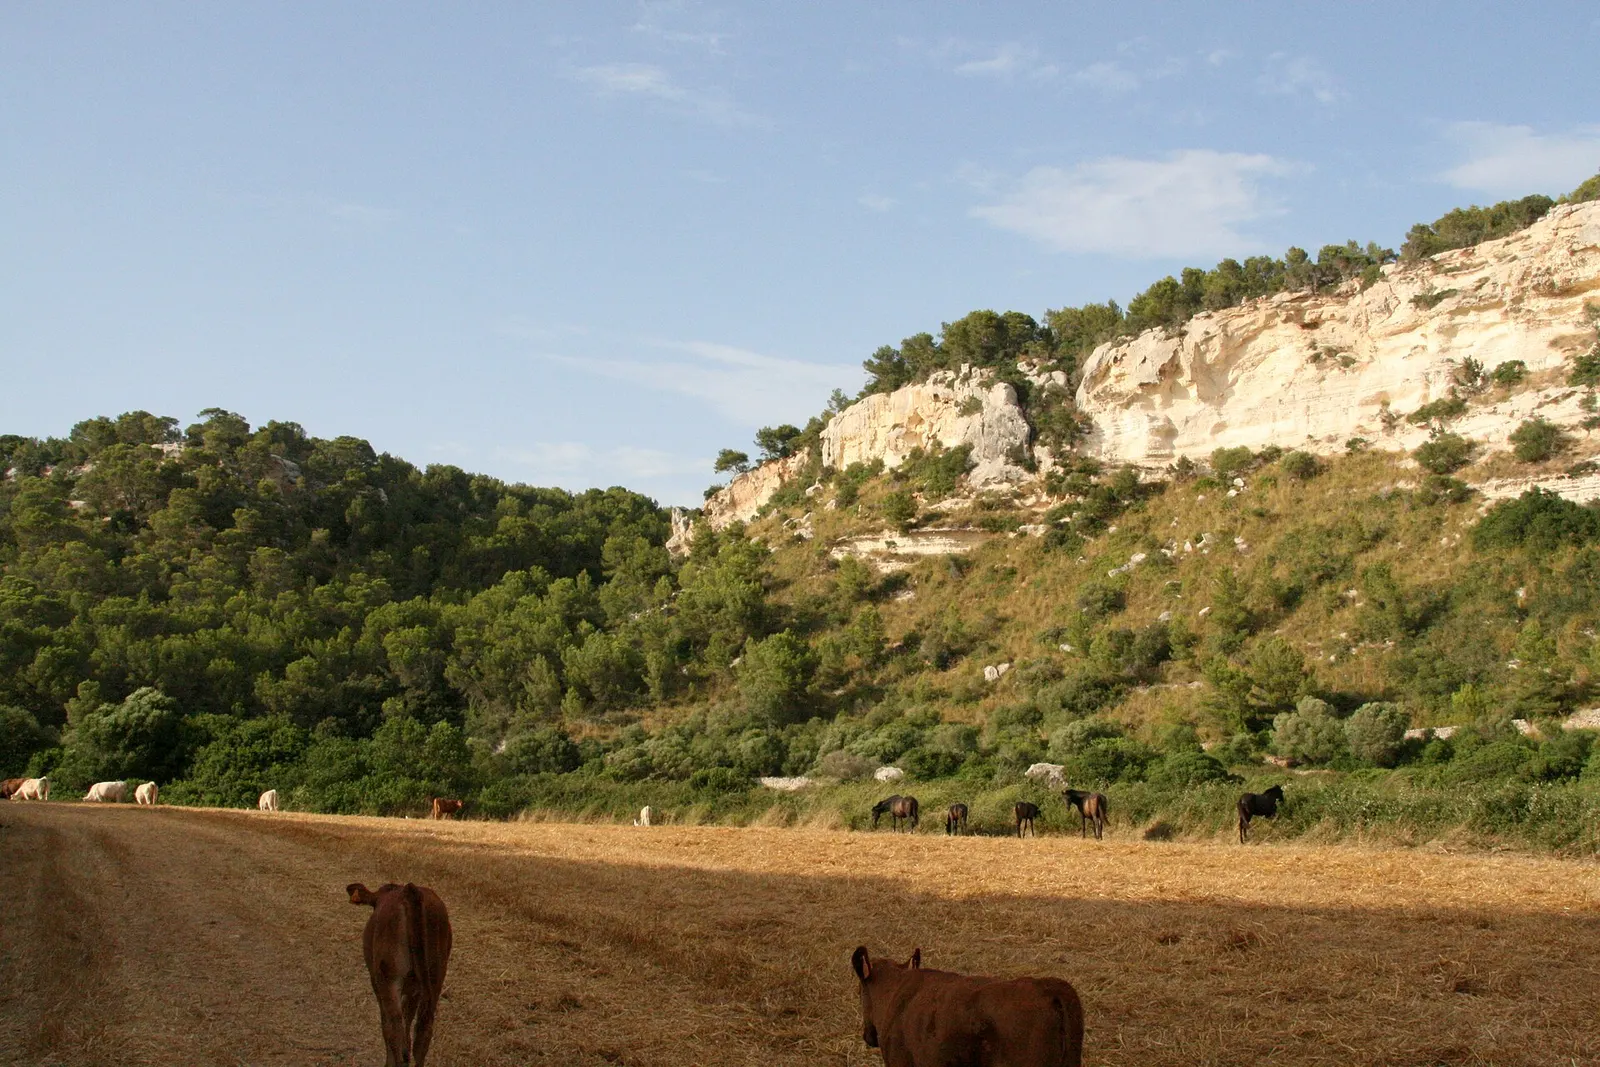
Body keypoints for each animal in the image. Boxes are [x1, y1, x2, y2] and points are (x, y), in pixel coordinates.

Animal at [348, 882, 453, 1067]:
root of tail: (409, 891)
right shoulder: (415, 989)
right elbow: (408, 1019)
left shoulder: (378, 982)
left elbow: (388, 1024)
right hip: (436, 977)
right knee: (423, 1032)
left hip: (389, 979)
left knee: (394, 1027)